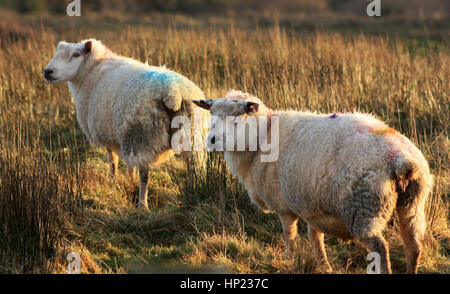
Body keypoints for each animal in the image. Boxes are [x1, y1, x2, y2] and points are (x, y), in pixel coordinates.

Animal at [44, 39, 207, 209]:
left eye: (76, 54)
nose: (47, 71)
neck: (91, 71)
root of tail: (173, 93)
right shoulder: (121, 136)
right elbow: (129, 166)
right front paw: (129, 180)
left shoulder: (109, 135)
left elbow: (113, 161)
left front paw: (113, 180)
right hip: (191, 132)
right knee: (194, 166)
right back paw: (193, 191)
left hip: (142, 135)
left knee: (145, 175)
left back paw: (142, 204)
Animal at [193, 89, 432, 274]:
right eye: (212, 113)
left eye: (237, 117)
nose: (211, 140)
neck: (261, 139)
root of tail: (400, 159)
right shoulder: (311, 204)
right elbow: (315, 236)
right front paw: (323, 265)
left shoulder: (283, 205)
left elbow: (290, 235)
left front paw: (289, 259)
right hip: (412, 204)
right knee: (414, 246)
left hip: (365, 208)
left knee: (380, 248)